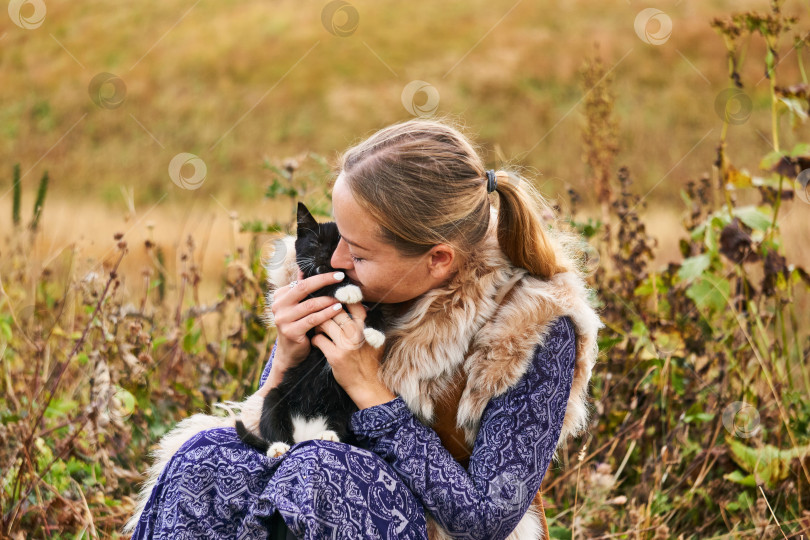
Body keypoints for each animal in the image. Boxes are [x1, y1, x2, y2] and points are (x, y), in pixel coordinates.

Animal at [235, 202, 386, 456]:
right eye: (315, 243)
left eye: (340, 245)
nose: (325, 256)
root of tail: (304, 434)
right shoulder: (305, 301)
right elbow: (322, 287)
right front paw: (346, 289)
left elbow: (381, 308)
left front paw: (376, 332)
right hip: (276, 395)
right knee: (273, 420)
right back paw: (278, 447)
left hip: (347, 405)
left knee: (339, 421)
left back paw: (330, 435)